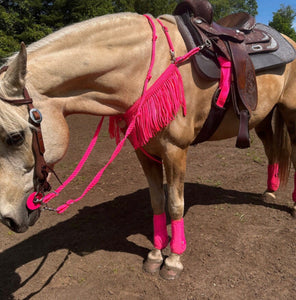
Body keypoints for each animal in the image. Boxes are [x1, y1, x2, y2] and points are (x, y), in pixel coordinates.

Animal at [0, 11, 296, 278]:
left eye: (15, 137)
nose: (8, 219)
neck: (147, 69)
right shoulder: (144, 151)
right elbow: (156, 201)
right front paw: (155, 254)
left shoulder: (175, 150)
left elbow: (175, 203)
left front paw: (174, 259)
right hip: (263, 116)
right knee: (271, 149)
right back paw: (270, 190)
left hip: (290, 113)